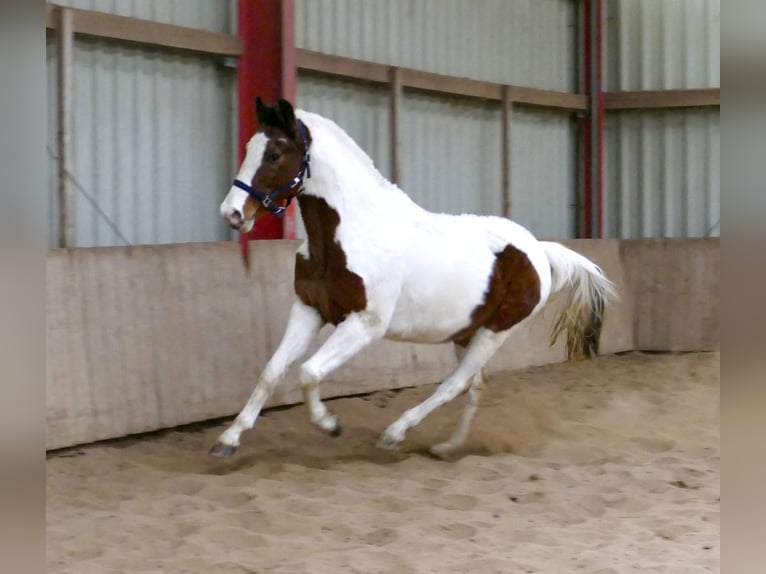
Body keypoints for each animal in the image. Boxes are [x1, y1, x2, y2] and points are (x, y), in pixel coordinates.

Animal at [212, 97, 616, 459]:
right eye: (248, 148)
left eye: (274, 154)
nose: (231, 213)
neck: (352, 231)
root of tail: (539, 251)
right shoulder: (309, 310)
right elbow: (272, 371)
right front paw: (228, 440)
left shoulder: (364, 325)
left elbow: (309, 372)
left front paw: (330, 424)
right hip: (467, 331)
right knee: (474, 385)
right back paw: (448, 448)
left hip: (495, 332)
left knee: (455, 384)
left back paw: (395, 434)